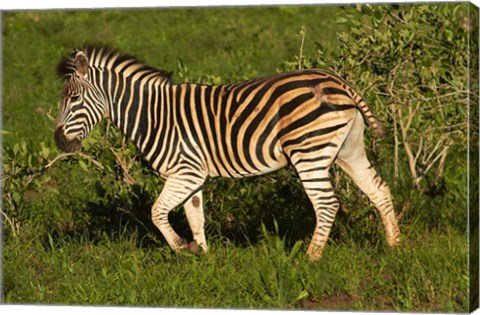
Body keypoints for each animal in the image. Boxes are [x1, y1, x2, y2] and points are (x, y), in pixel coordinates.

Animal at [54, 47, 402, 262]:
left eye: (74, 99)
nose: (59, 142)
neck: (152, 115)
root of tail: (339, 82)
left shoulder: (185, 171)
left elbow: (157, 212)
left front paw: (182, 248)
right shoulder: (192, 175)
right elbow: (195, 217)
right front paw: (202, 258)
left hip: (309, 152)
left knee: (327, 204)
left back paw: (310, 258)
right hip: (348, 150)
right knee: (379, 190)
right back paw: (395, 246)